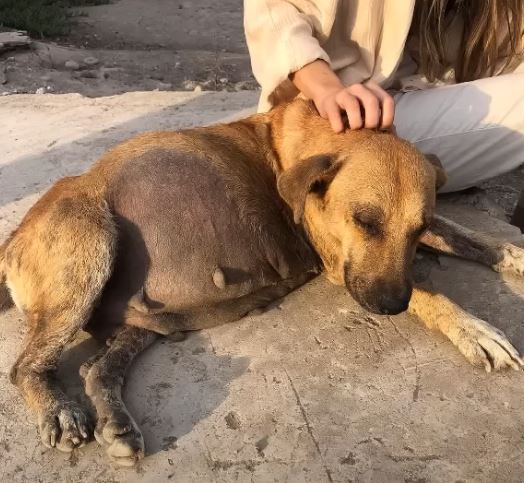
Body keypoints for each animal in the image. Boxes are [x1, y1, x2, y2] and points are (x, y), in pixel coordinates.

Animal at [0, 100, 520, 466]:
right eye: (364, 221)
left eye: (418, 226)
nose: (391, 306)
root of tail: (12, 239)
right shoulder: (342, 267)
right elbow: (429, 293)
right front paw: (472, 328)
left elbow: (466, 235)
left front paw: (510, 253)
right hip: (89, 248)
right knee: (25, 366)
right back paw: (58, 409)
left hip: (142, 319)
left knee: (97, 369)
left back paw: (118, 426)